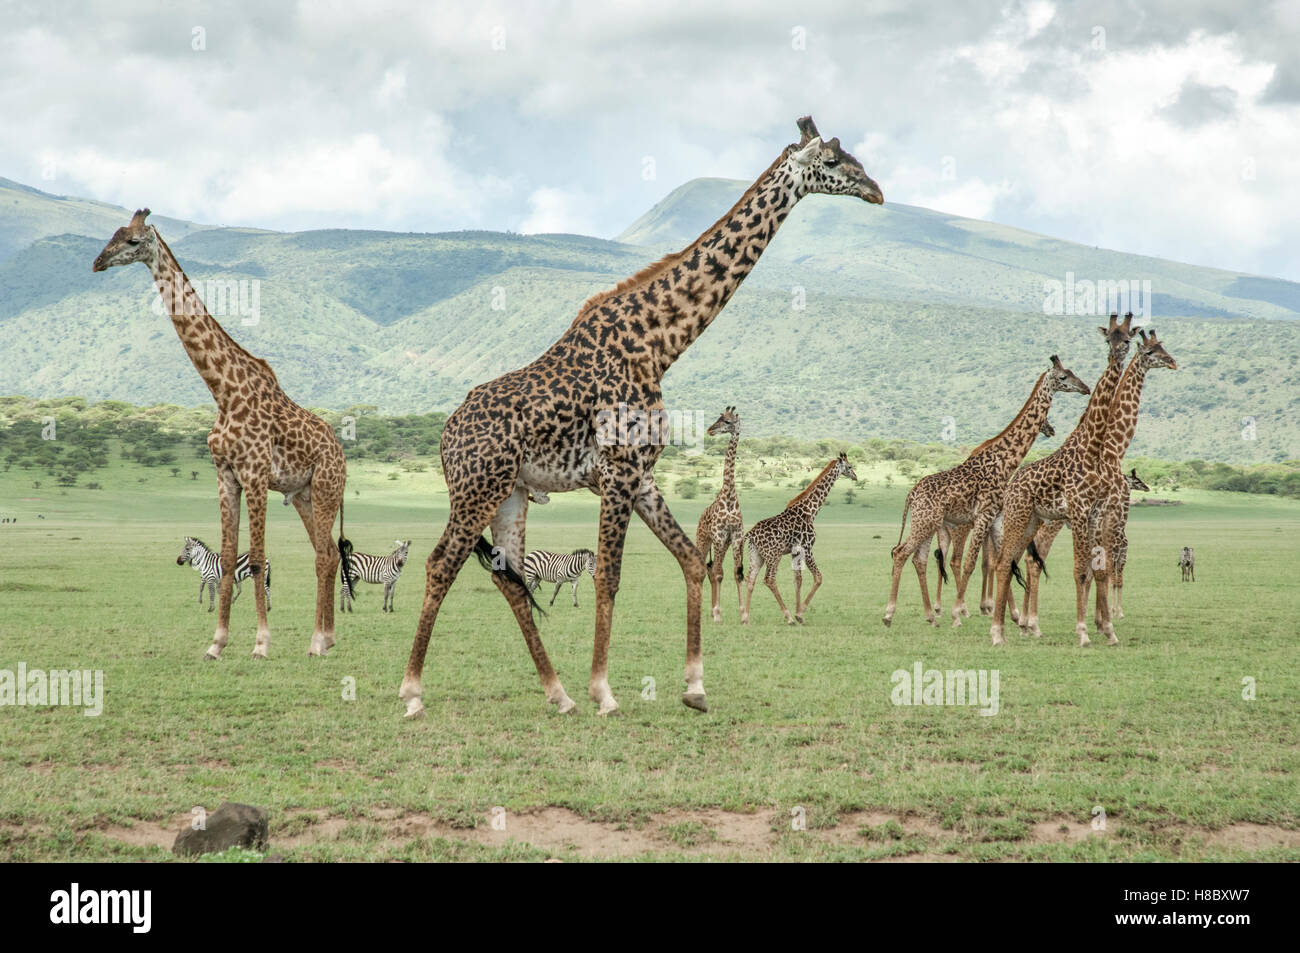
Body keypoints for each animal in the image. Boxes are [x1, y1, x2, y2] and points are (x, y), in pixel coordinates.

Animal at [93, 210, 349, 660]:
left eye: (133, 241)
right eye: (114, 235)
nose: (97, 262)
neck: (223, 392)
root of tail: (342, 453)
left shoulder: (256, 474)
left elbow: (258, 557)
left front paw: (261, 644)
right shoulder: (225, 474)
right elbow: (229, 558)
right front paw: (217, 642)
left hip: (327, 488)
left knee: (323, 557)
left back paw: (318, 642)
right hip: (304, 495)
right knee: (328, 553)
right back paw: (326, 638)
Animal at [740, 453, 857, 624]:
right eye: (849, 466)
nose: (855, 476)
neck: (811, 511)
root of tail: (751, 534)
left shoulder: (795, 551)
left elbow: (798, 580)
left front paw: (799, 612)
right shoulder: (807, 548)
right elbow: (818, 577)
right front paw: (800, 614)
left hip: (756, 555)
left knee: (750, 579)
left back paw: (745, 618)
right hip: (773, 555)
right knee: (769, 579)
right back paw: (788, 617)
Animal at [882, 357, 1090, 628]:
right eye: (1064, 377)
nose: (1085, 388)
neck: (1005, 462)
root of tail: (911, 495)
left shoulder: (996, 517)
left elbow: (1004, 560)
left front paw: (1013, 615)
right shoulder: (983, 515)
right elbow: (971, 562)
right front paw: (959, 613)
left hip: (928, 523)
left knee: (919, 558)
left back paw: (930, 617)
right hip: (926, 522)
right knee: (901, 553)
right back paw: (889, 614)